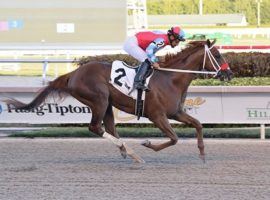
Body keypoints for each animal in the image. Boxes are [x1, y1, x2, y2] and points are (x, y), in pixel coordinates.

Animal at [4, 39, 232, 162]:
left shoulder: (176, 112)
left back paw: (128, 153)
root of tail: (74, 73)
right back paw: (131, 151)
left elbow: (198, 124)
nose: (229, 73)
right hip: (99, 100)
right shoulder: (157, 116)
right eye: (217, 55)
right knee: (96, 128)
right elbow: (174, 138)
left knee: (109, 128)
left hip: (107, 104)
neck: (170, 78)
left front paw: (202, 153)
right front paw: (148, 144)